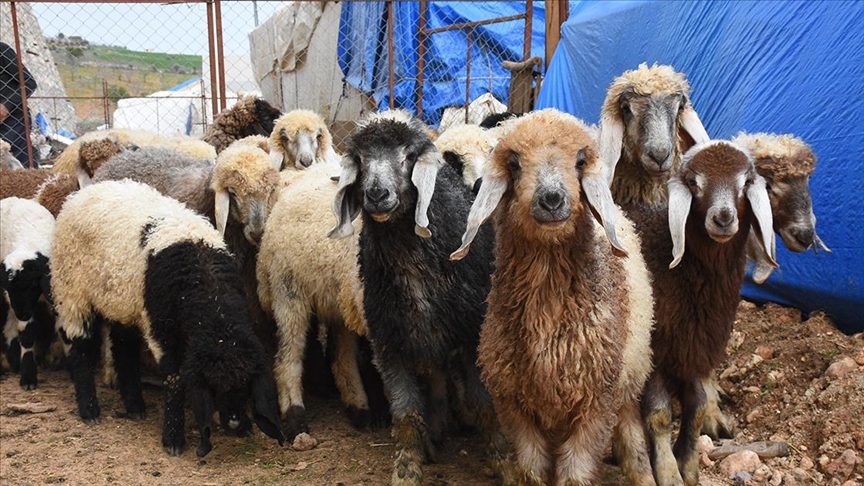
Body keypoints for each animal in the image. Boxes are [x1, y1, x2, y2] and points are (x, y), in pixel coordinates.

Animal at [51, 180, 284, 458]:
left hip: (122, 301)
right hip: (71, 290)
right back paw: (89, 410)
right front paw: (173, 438)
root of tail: (84, 191)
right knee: (80, 347)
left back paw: (135, 407)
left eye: (245, 387)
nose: (235, 423)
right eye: (213, 387)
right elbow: (175, 377)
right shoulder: (161, 329)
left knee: (124, 349)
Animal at [452, 110, 656, 486]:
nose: (551, 199)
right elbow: (531, 471)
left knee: (632, 434)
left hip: (629, 378)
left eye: (579, 161)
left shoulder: (596, 404)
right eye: (514, 164)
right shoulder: (514, 407)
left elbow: (575, 474)